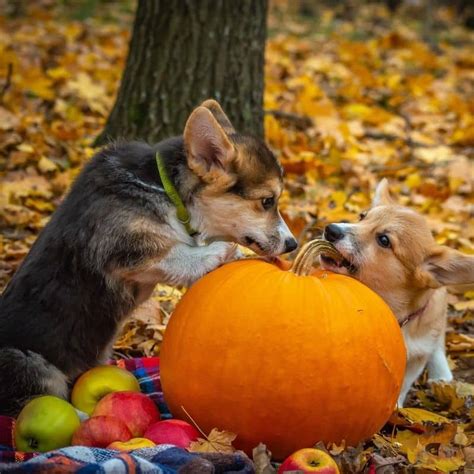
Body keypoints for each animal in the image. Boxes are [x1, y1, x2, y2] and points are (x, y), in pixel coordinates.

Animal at [320, 180, 472, 406]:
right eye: (362, 216)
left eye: (384, 240)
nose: (330, 229)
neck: (393, 309)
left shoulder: (416, 358)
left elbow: (403, 385)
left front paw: (396, 409)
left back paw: (441, 374)